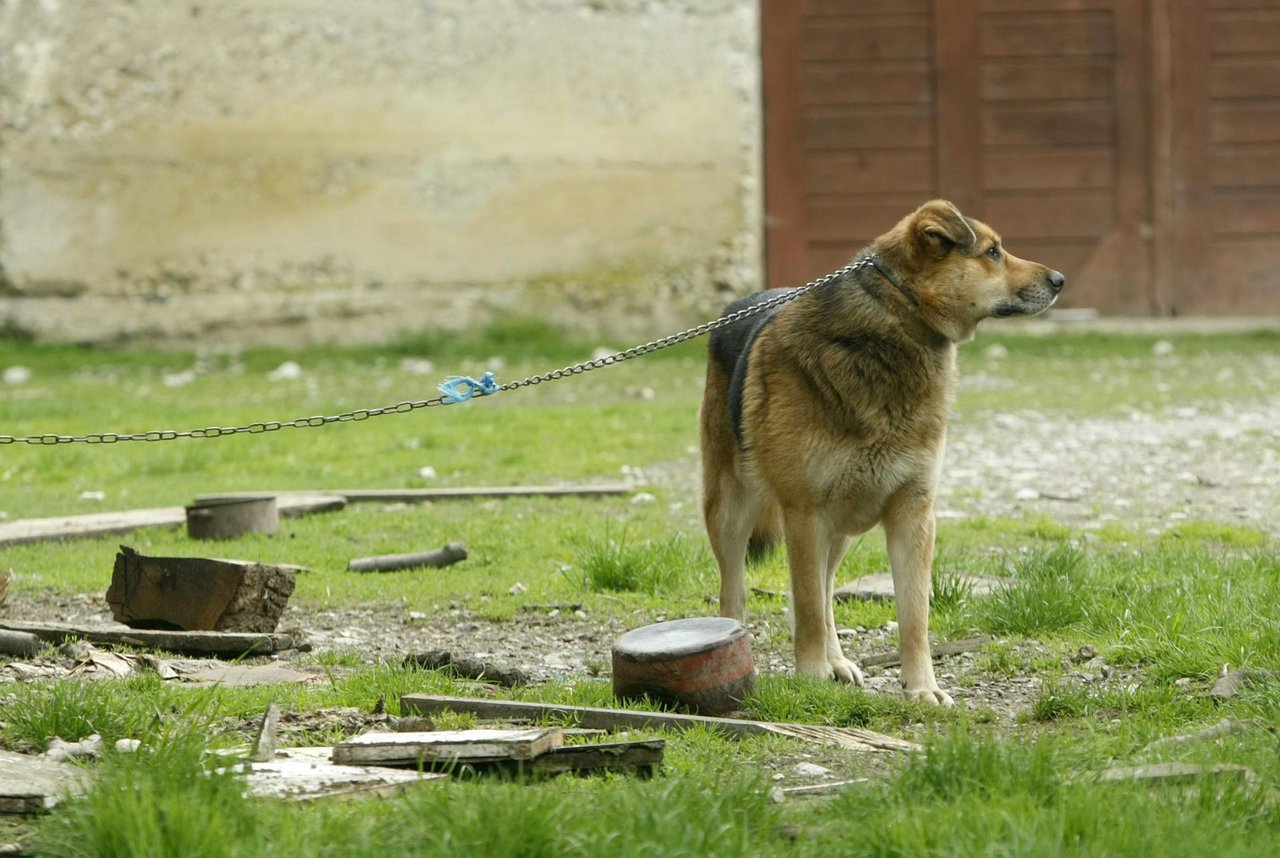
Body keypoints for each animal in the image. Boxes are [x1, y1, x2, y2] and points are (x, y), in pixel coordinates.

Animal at [701, 202, 1059, 706]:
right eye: (992, 252)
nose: (1060, 279)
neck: (896, 323)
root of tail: (737, 305)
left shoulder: (913, 514)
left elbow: (913, 616)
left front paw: (922, 687)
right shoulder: (804, 513)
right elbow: (806, 607)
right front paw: (810, 678)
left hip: (840, 525)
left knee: (825, 591)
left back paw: (836, 661)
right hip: (733, 512)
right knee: (738, 593)